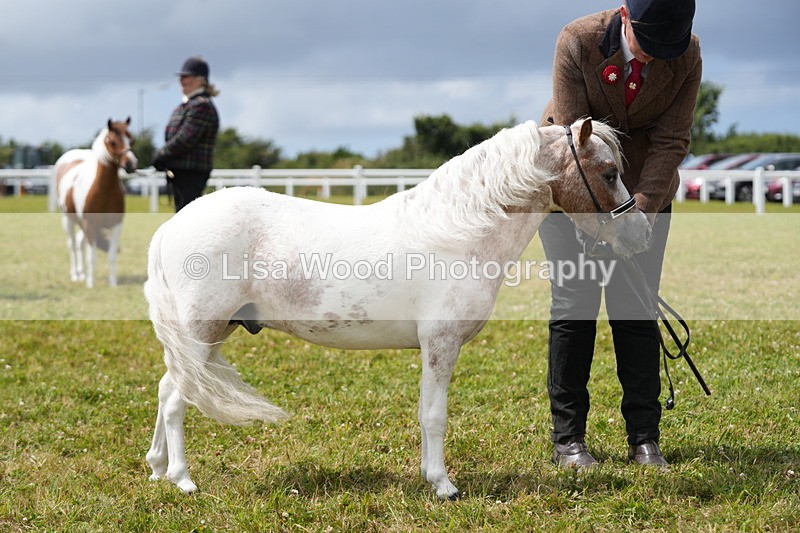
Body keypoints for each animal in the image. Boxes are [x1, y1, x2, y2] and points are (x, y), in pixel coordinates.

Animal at [55, 118, 137, 288]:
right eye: (113, 142)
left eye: (131, 140)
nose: (131, 164)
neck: (104, 192)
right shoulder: (91, 225)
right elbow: (91, 256)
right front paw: (91, 283)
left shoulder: (116, 226)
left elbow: (111, 255)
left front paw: (113, 283)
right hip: (69, 220)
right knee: (72, 244)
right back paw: (76, 275)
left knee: (79, 243)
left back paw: (82, 274)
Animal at [143, 118, 651, 499]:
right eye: (609, 172)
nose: (641, 233)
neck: (460, 232)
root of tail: (172, 226)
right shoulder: (441, 343)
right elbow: (435, 415)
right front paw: (444, 486)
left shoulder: (433, 347)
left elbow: (426, 411)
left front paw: (431, 477)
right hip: (202, 333)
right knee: (178, 399)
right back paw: (183, 479)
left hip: (209, 337)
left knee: (167, 390)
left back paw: (157, 468)